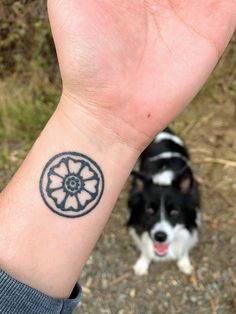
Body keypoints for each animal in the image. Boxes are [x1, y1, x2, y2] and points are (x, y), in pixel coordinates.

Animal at [128, 127, 200, 274]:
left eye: (174, 212)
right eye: (149, 210)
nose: (160, 237)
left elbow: (185, 245)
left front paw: (184, 263)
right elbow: (145, 248)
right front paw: (142, 264)